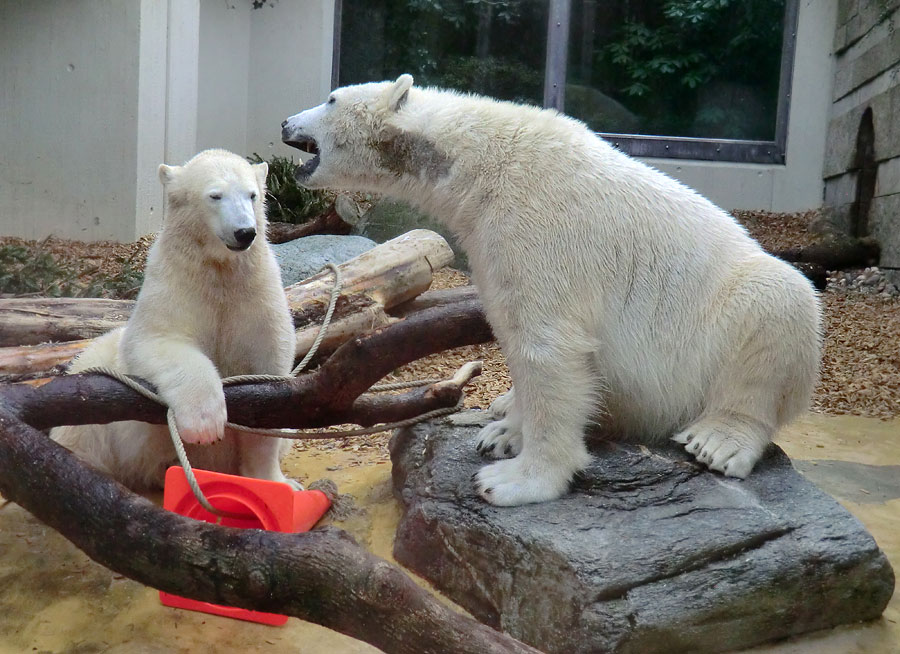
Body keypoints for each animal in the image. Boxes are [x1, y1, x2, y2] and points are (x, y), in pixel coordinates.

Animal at [51, 150, 298, 492]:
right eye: (215, 195)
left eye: (252, 195)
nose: (245, 232)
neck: (219, 271)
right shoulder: (175, 283)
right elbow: (158, 340)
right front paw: (204, 425)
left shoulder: (257, 294)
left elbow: (269, 373)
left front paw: (278, 482)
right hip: (93, 385)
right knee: (81, 429)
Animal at [284, 75, 824, 508]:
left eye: (330, 98)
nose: (287, 121)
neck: (477, 161)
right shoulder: (488, 240)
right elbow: (512, 329)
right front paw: (503, 433)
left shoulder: (540, 227)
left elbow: (549, 347)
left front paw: (515, 480)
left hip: (720, 329)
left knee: (776, 305)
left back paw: (718, 440)